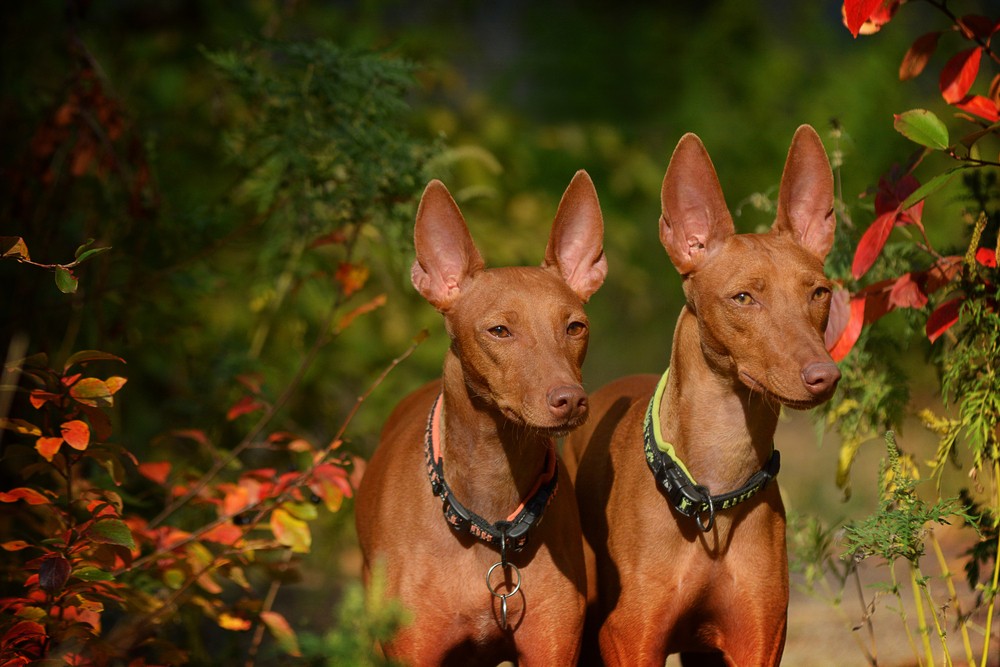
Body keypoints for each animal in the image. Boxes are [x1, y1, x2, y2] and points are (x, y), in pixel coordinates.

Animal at [568, 126, 840, 667]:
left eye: (819, 293)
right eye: (743, 298)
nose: (824, 375)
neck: (712, 492)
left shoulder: (757, 641)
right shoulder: (630, 640)